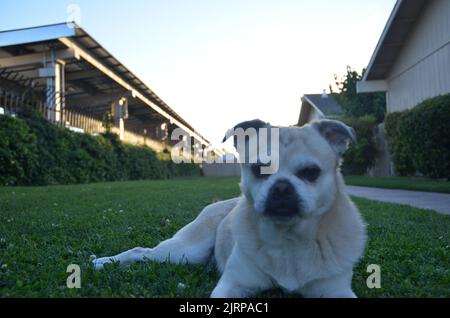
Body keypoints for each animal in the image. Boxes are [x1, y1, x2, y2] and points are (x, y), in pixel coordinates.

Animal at [93, 119, 368, 298]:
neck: (288, 239)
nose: (281, 188)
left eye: (311, 173)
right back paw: (105, 262)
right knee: (142, 251)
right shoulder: (232, 286)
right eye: (259, 169)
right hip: (184, 251)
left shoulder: (337, 291)